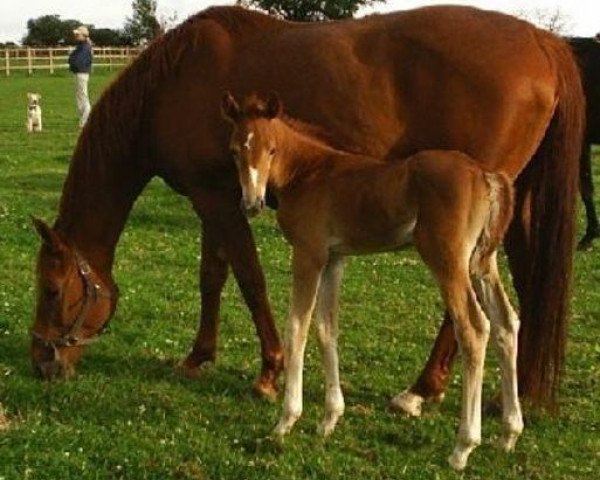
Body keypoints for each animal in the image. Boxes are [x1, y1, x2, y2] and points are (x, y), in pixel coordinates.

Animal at [30, 6, 584, 408]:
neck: (173, 83)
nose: (40, 361)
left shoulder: (218, 201)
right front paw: (198, 356)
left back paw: (420, 389)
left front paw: (269, 370)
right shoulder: (214, 195)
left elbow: (249, 278)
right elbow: (213, 276)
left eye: (54, 290)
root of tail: (543, 42)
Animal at [223, 93, 524, 468]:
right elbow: (326, 328)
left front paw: (285, 422)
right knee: (506, 323)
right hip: (481, 262)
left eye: (272, 149)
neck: (309, 173)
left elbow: (297, 328)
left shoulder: (309, 254)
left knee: (474, 328)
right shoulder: (335, 258)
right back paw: (509, 435)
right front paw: (329, 419)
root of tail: (485, 174)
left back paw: (463, 447)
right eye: (235, 150)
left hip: (447, 260)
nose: (252, 204)